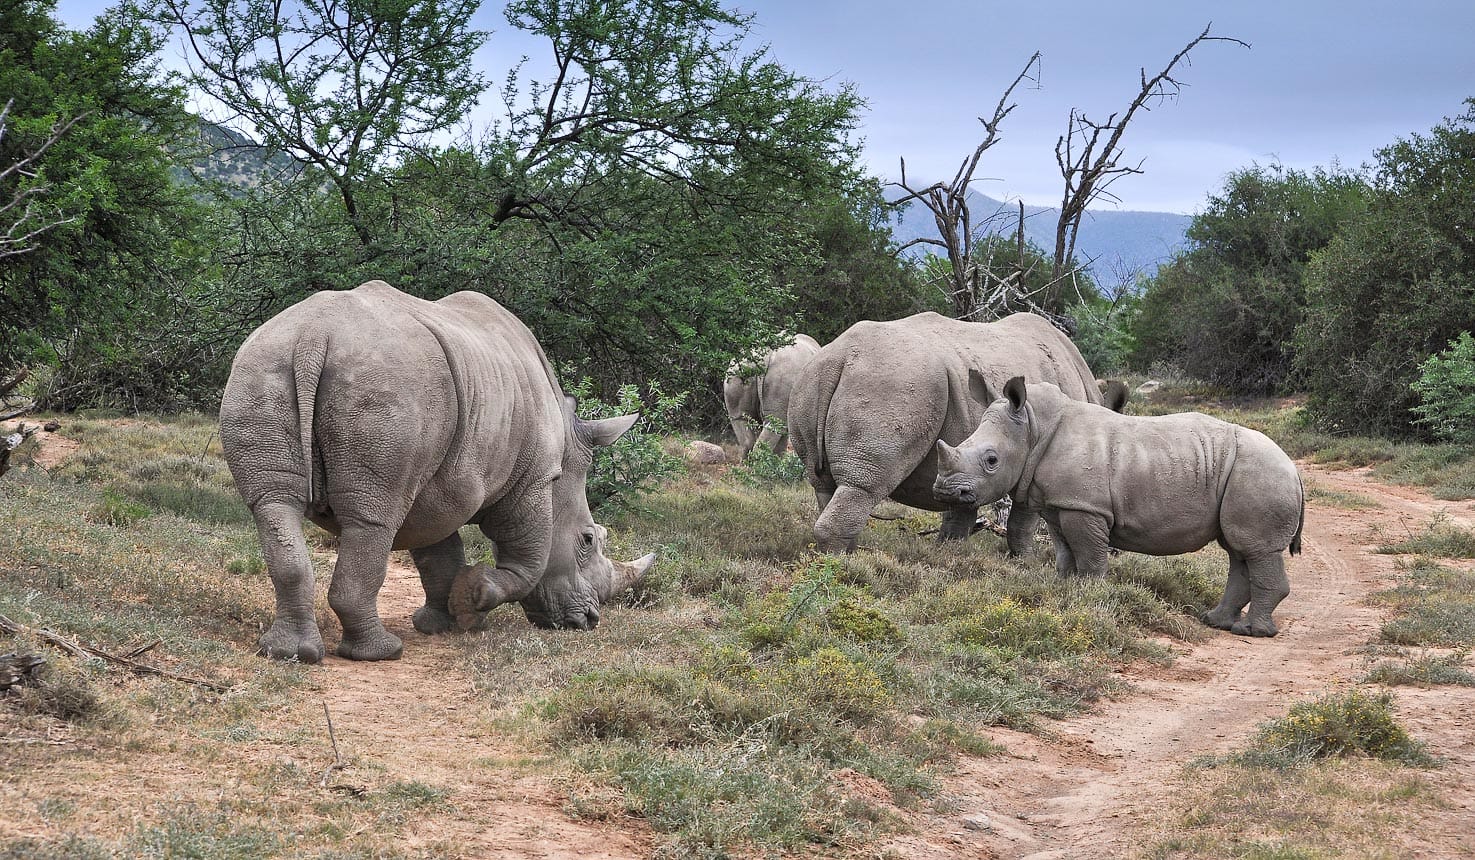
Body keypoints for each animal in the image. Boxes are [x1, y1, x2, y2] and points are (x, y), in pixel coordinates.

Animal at [220, 280, 655, 663]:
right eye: (588, 540)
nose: (589, 621)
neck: (566, 448)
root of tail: (313, 336)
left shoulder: (441, 484)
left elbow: (439, 552)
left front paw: (443, 621)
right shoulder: (534, 479)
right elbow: (528, 560)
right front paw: (473, 600)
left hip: (260, 370)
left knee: (274, 504)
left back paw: (286, 652)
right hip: (389, 387)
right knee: (374, 519)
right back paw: (382, 653)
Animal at [787, 311, 1122, 553]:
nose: (1116, 548)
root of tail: (839, 358)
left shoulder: (966, 470)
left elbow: (960, 513)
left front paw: (949, 554)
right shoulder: (1032, 465)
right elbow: (1023, 521)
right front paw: (1026, 561)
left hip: (810, 383)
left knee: (824, 485)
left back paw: (844, 554)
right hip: (894, 384)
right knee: (863, 485)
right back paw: (841, 564)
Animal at [934, 376, 1304, 637]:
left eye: (991, 460)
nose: (944, 491)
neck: (1034, 428)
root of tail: (1293, 467)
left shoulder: (1086, 507)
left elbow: (1088, 556)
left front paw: (1090, 596)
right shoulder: (1061, 504)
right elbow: (1065, 553)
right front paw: (1066, 590)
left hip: (1260, 475)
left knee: (1255, 550)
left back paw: (1251, 632)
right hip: (1247, 477)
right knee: (1238, 551)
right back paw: (1215, 622)